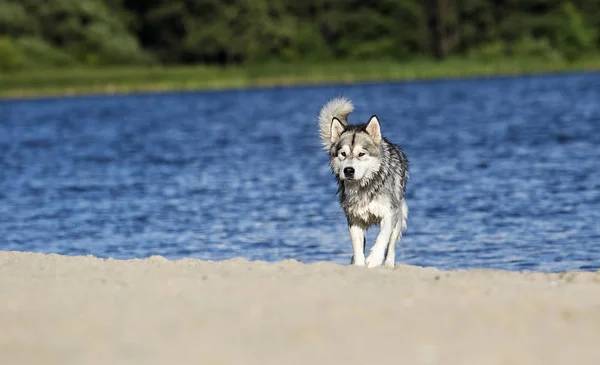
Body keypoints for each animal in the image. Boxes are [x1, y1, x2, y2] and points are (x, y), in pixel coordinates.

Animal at [316, 96, 410, 268]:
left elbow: (383, 237)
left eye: (361, 154)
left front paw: (374, 259)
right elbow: (356, 245)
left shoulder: (389, 213)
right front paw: (359, 265)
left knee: (391, 245)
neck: (364, 186)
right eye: (343, 154)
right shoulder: (354, 218)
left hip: (399, 216)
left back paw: (388, 264)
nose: (348, 170)